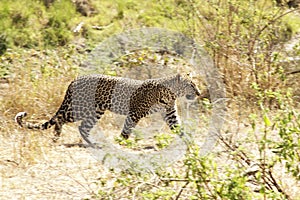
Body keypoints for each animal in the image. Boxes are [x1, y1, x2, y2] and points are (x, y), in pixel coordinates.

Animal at [15, 73, 200, 145]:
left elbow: (177, 127)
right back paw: (56, 136)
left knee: (83, 127)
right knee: (61, 119)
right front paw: (122, 141)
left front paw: (188, 139)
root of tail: (74, 80)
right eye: (191, 85)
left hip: (96, 111)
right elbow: (127, 128)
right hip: (80, 108)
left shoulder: (170, 113)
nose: (198, 93)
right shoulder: (135, 113)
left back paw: (92, 143)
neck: (170, 94)